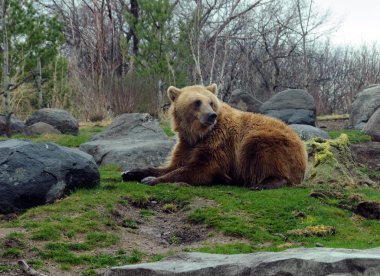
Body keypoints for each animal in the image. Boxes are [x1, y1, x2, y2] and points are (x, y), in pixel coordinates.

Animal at [123, 83, 308, 189]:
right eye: (197, 102)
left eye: (211, 102)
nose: (211, 115)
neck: (198, 134)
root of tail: (302, 146)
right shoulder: (187, 145)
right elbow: (173, 165)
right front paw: (131, 172)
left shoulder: (219, 143)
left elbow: (201, 168)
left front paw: (151, 180)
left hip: (271, 141)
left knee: (259, 150)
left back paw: (263, 183)